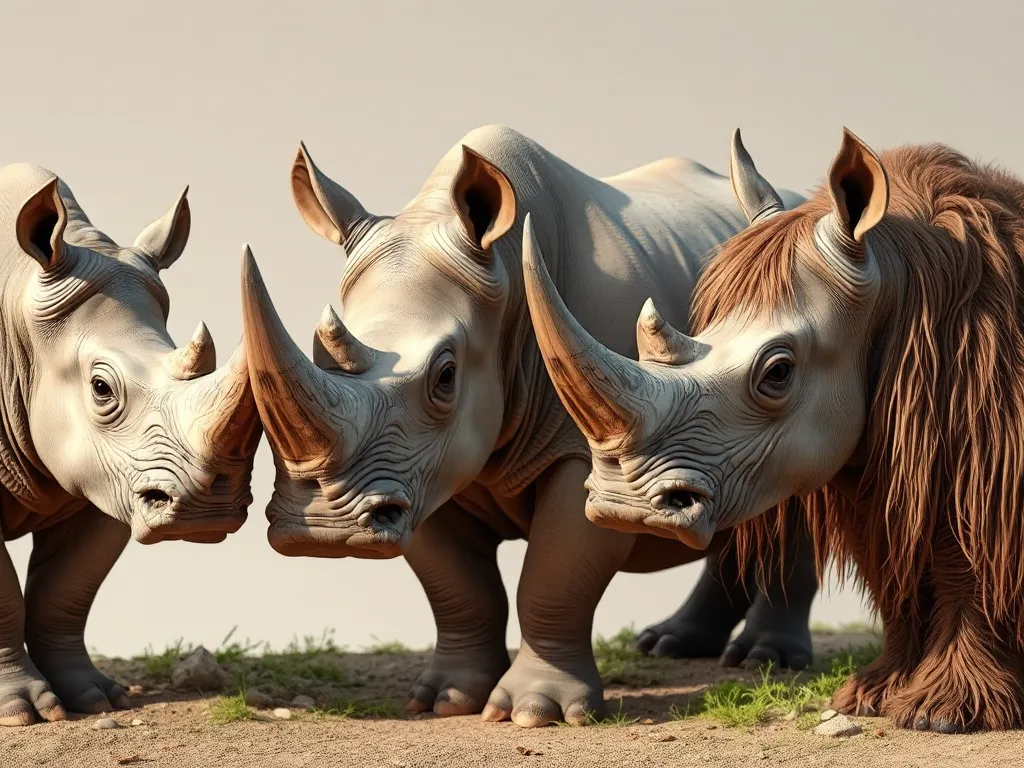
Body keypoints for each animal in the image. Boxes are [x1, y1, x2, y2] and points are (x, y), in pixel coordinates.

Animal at [0, 164, 262, 727]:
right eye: (101, 388)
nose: (204, 514)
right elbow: (5, 595)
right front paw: (23, 713)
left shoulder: (107, 476)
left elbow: (67, 589)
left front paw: (96, 698)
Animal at [241, 125, 818, 727]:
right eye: (314, 353)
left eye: (445, 377)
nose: (322, 531)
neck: (504, 291)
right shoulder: (420, 466)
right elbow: (457, 586)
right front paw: (444, 701)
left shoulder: (598, 453)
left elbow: (554, 574)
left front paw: (535, 713)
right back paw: (670, 646)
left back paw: (764, 660)